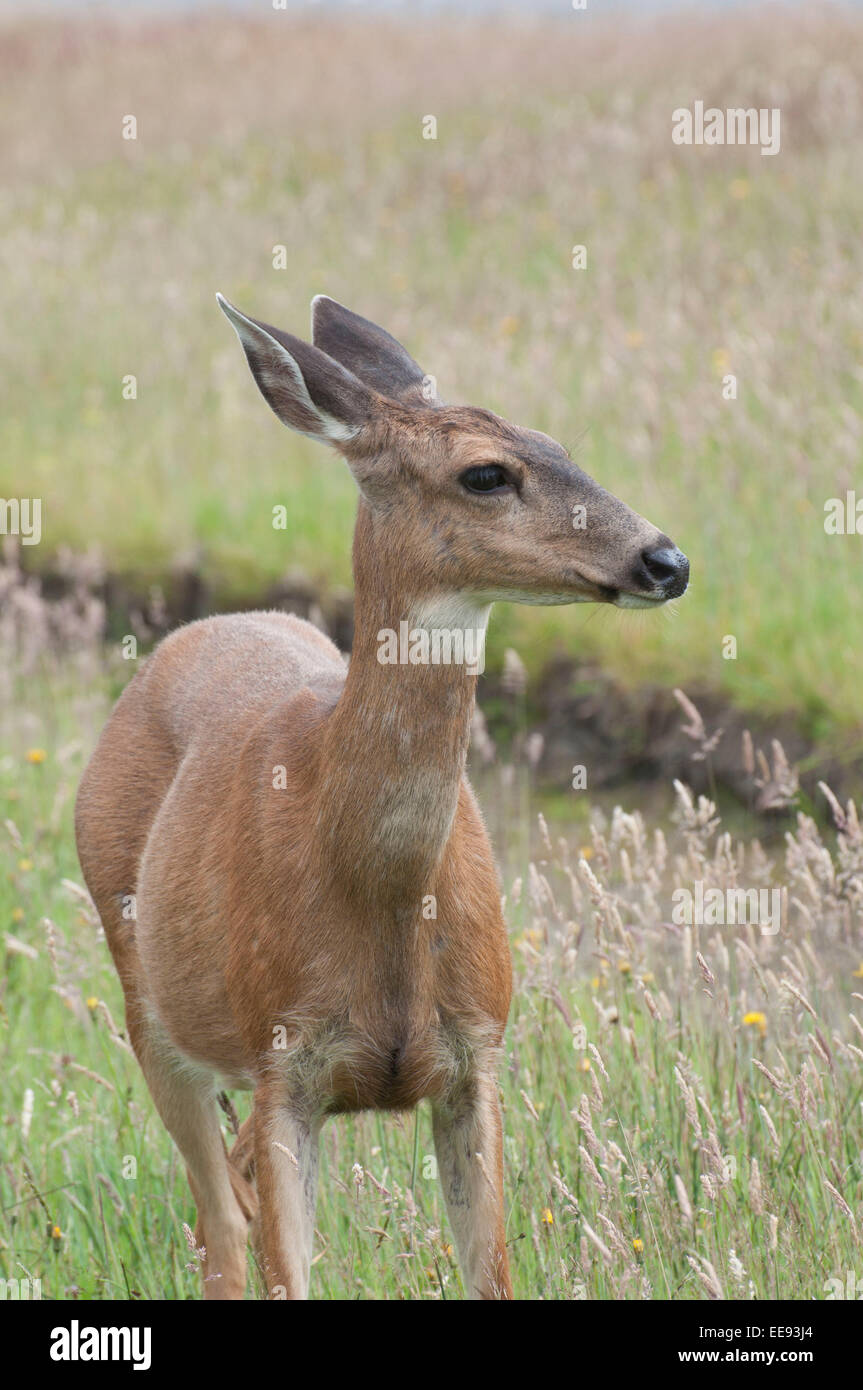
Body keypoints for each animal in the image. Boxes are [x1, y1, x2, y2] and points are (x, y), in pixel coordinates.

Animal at [74, 293, 689, 1301]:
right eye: (486, 473)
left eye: (557, 441)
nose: (665, 560)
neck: (381, 887)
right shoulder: (283, 1060)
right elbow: (282, 1271)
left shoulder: (478, 1052)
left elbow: (493, 1277)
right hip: (147, 1003)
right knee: (221, 1230)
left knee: (224, 1204)